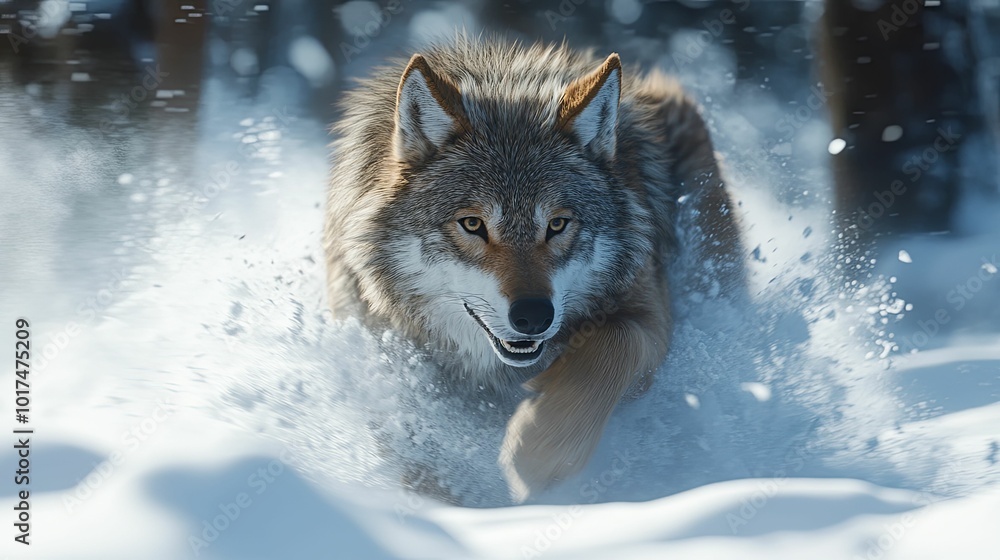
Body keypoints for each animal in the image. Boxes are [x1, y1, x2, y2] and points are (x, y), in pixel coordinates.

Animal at [324, 36, 743, 502]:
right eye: (473, 224)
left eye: (556, 224)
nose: (533, 315)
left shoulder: (650, 318)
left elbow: (614, 345)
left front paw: (541, 452)